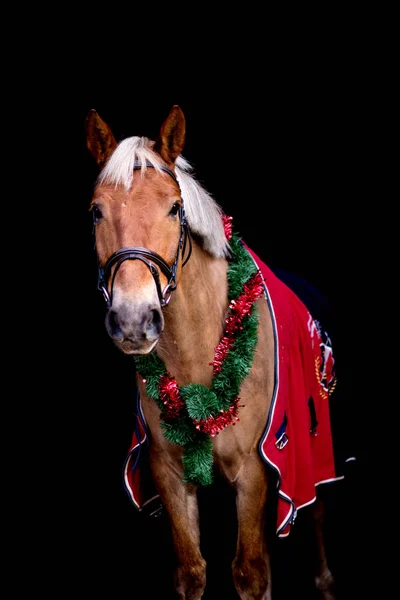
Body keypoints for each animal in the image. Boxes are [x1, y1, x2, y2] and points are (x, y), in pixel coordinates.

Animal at [85, 105, 354, 596]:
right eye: (96, 211)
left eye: (174, 208)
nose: (133, 320)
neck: (198, 359)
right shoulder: (169, 475)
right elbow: (193, 570)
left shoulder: (254, 473)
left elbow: (250, 572)